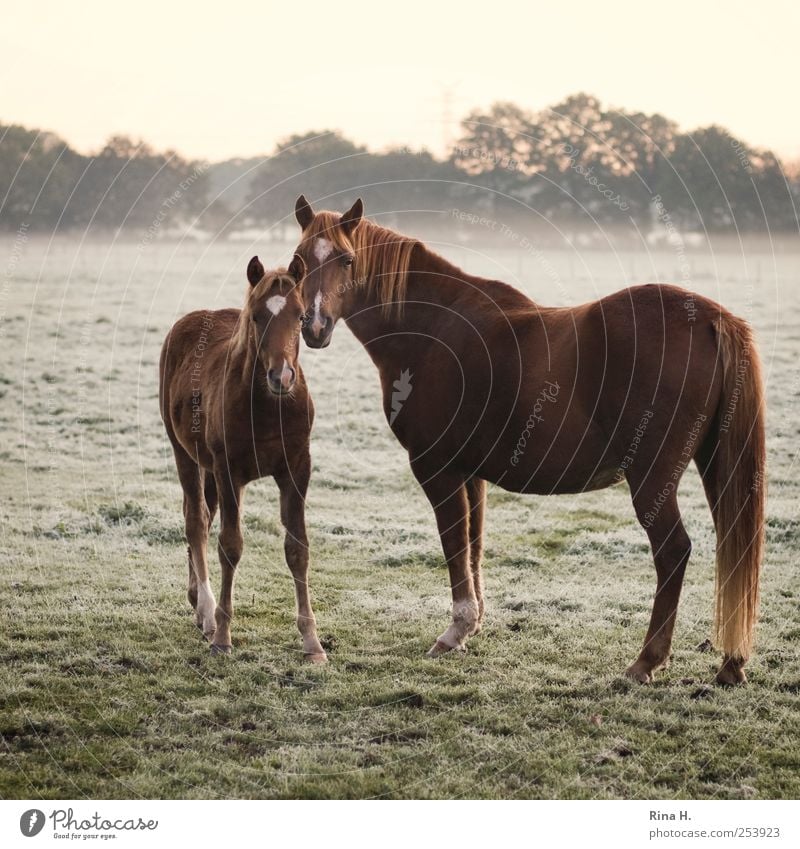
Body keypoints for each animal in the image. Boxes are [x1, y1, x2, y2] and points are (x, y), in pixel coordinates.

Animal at [158, 255, 326, 660]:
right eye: (256, 317)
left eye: (300, 315)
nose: (282, 376)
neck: (268, 406)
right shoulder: (228, 469)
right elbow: (230, 545)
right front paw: (222, 636)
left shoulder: (297, 468)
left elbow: (297, 548)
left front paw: (312, 642)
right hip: (186, 454)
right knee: (196, 520)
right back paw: (206, 612)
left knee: (204, 515)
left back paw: (196, 601)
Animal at [292, 195, 764, 684]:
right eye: (299, 261)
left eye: (347, 259)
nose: (315, 326)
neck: (434, 327)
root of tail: (712, 318)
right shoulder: (470, 474)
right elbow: (473, 546)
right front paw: (472, 626)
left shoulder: (436, 468)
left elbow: (453, 545)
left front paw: (454, 632)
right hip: (714, 464)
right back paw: (731, 664)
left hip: (652, 477)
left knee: (673, 551)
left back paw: (646, 661)